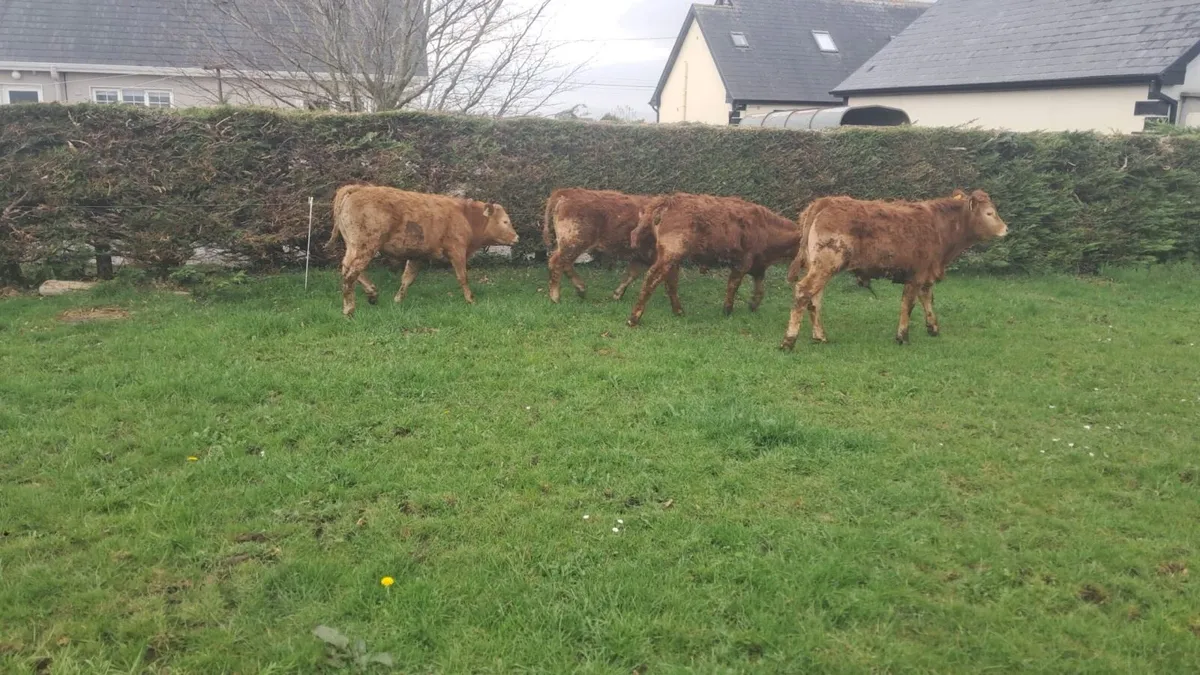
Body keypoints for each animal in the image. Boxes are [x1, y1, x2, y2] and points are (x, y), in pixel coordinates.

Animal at [326, 184, 519, 317]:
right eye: (505, 222)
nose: (516, 237)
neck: (465, 215)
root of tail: (357, 188)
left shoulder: (417, 256)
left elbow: (407, 279)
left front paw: (398, 300)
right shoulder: (457, 250)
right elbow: (463, 277)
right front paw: (470, 299)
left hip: (354, 247)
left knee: (346, 267)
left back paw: (372, 292)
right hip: (365, 247)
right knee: (350, 274)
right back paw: (349, 309)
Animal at [625, 193, 804, 327]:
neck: (766, 229)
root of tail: (668, 200)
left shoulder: (758, 266)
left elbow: (760, 289)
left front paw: (753, 305)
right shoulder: (742, 263)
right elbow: (733, 286)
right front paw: (727, 310)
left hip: (670, 255)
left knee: (670, 282)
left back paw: (679, 311)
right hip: (672, 252)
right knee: (652, 278)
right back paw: (634, 318)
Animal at [780, 189, 1008, 350]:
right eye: (990, 213)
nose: (1006, 228)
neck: (938, 227)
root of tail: (825, 201)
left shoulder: (926, 275)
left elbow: (927, 299)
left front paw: (933, 328)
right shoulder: (916, 275)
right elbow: (908, 304)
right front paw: (902, 336)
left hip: (818, 265)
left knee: (814, 299)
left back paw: (820, 337)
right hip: (826, 263)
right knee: (804, 291)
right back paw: (789, 341)